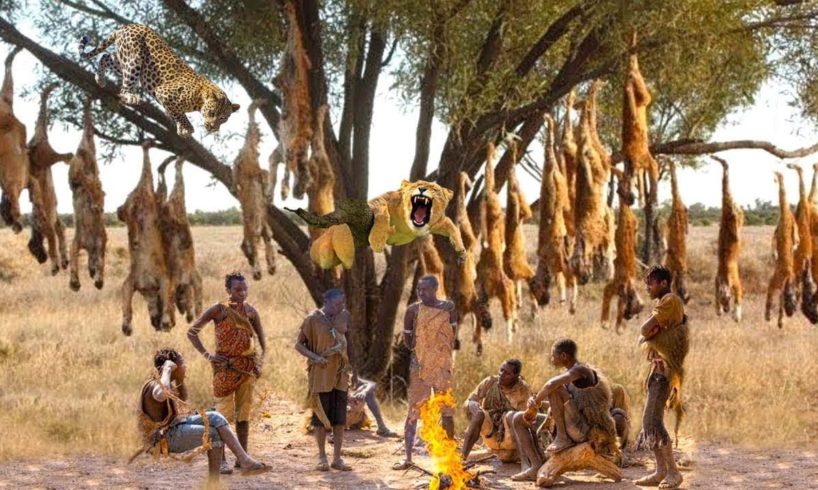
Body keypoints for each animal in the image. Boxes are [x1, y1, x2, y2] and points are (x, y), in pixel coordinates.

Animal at [287, 180, 466, 269]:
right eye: (416, 185)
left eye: (435, 189)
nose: (422, 189)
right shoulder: (382, 201)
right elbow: (381, 213)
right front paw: (379, 241)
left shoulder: (438, 222)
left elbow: (453, 227)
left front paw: (461, 252)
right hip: (334, 239)